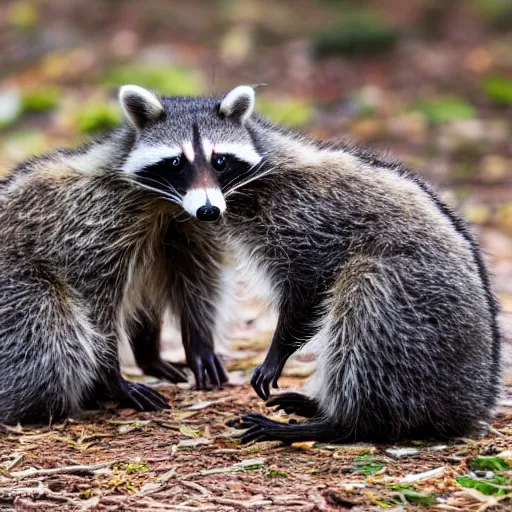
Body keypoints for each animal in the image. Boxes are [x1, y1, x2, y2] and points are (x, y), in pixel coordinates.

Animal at [0, 86, 228, 424]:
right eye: (176, 162)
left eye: (221, 162)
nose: (209, 209)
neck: (165, 202)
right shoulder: (90, 228)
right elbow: (96, 309)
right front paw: (112, 377)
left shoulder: (182, 230)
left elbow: (193, 284)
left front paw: (187, 344)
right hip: (15, 289)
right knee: (52, 329)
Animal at [135, 85, 500, 444]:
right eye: (175, 164)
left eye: (220, 161)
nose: (207, 210)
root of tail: (473, 397)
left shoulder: (307, 217)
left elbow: (311, 283)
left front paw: (278, 350)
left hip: (416, 301)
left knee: (363, 303)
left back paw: (342, 422)